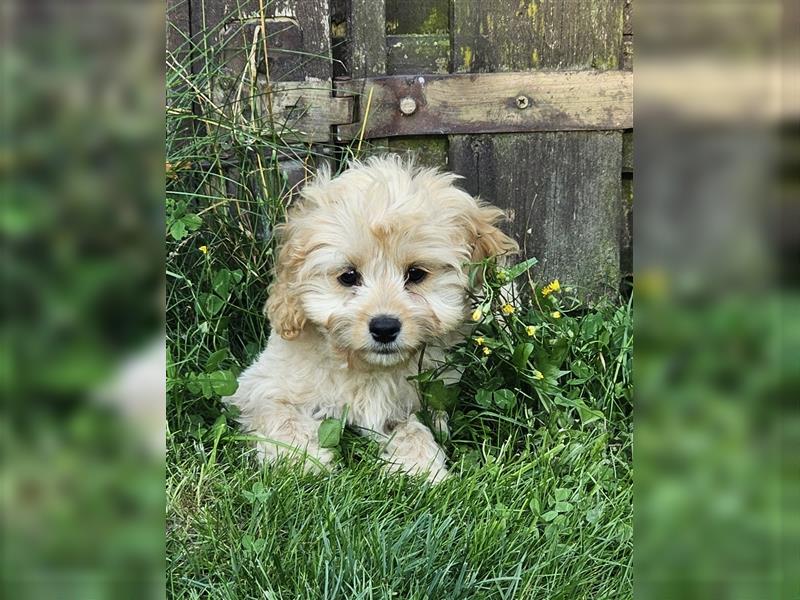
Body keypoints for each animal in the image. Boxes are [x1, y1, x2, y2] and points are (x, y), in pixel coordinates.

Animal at [223, 155, 520, 482]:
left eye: (416, 274)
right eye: (348, 276)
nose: (384, 327)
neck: (367, 367)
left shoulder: (422, 399)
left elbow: (414, 427)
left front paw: (422, 467)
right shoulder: (259, 386)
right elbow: (278, 413)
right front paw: (302, 460)